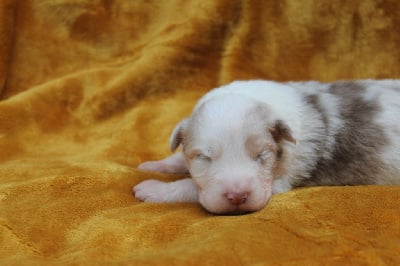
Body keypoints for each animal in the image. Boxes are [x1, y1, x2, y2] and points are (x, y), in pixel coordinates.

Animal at [134, 79, 400, 214]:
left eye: (261, 154)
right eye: (204, 158)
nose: (237, 197)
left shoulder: (279, 181)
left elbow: (189, 185)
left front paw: (154, 188)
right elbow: (180, 159)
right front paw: (157, 165)